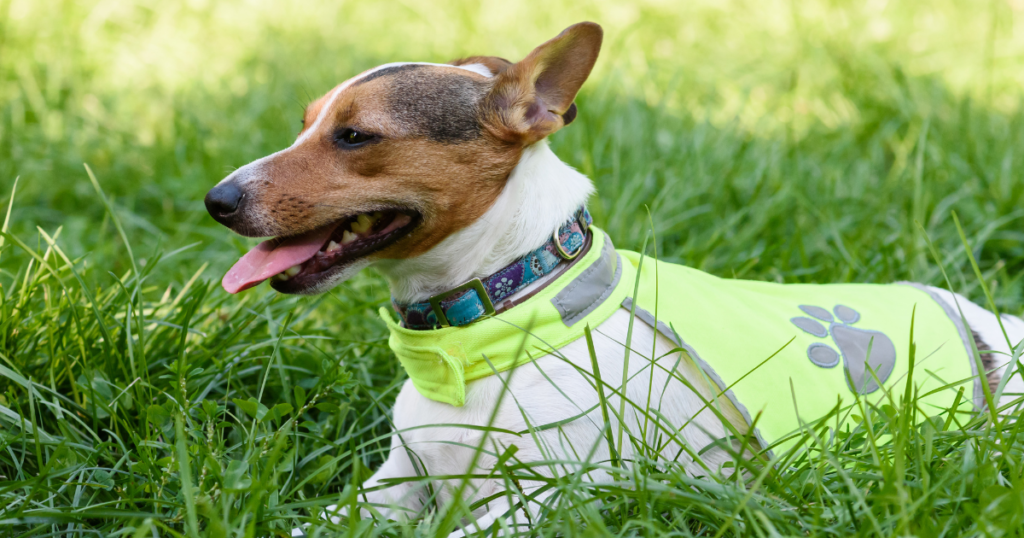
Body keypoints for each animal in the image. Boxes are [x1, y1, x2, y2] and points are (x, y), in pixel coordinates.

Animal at [205, 22, 1024, 536]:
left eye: (355, 136)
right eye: (307, 122)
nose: (217, 199)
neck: (488, 325)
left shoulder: (555, 495)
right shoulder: (396, 485)